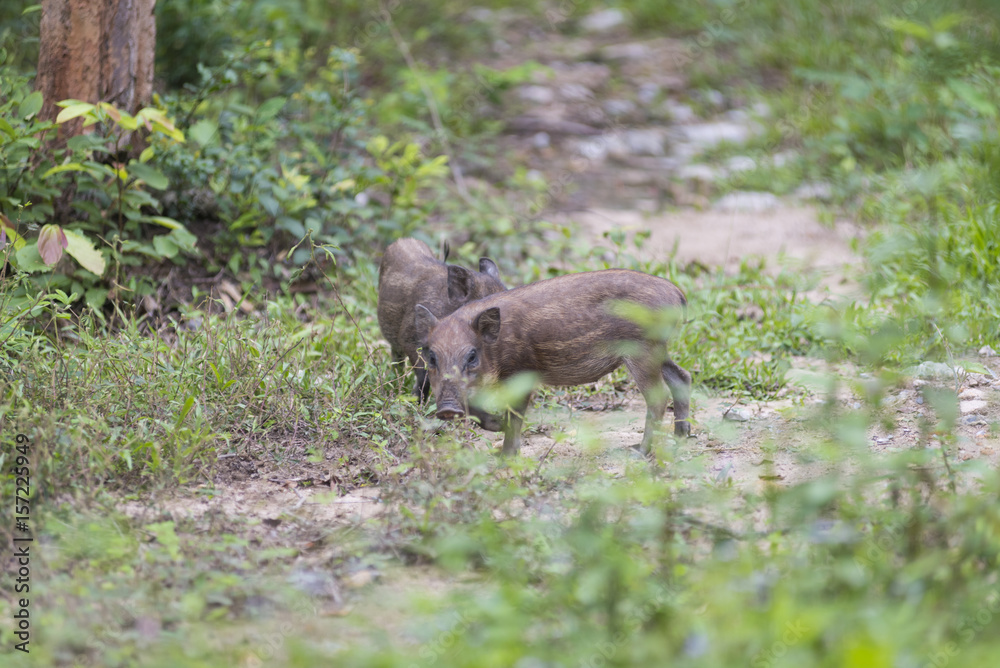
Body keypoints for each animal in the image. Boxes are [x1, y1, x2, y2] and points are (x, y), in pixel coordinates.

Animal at [413, 269, 692, 455]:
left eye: (471, 356)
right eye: (431, 356)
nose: (447, 409)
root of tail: (677, 294)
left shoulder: (522, 372)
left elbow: (515, 415)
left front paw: (506, 457)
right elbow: (476, 406)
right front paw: (499, 430)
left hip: (642, 350)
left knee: (659, 397)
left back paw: (638, 452)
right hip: (657, 349)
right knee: (681, 377)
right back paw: (681, 437)